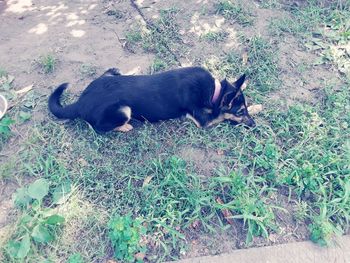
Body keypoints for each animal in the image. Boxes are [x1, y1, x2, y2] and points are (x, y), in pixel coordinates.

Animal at [48, 67, 254, 133]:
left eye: (244, 108)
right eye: (240, 112)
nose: (255, 125)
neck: (214, 91)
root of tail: (81, 101)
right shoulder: (203, 121)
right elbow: (221, 116)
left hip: (110, 75)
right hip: (124, 110)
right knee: (99, 128)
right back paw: (124, 127)